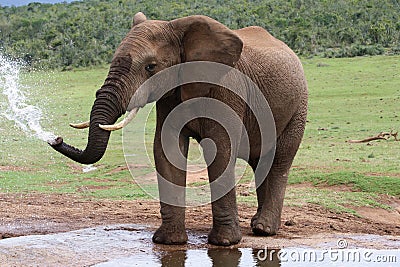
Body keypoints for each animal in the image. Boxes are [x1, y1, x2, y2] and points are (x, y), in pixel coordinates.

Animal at [48, 12, 308, 247]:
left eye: (150, 67)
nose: (56, 139)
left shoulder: (227, 90)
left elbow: (221, 150)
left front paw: (224, 243)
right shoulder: (169, 94)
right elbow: (167, 150)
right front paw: (168, 241)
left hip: (299, 106)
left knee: (280, 160)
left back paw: (264, 229)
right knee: (261, 162)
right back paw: (256, 224)